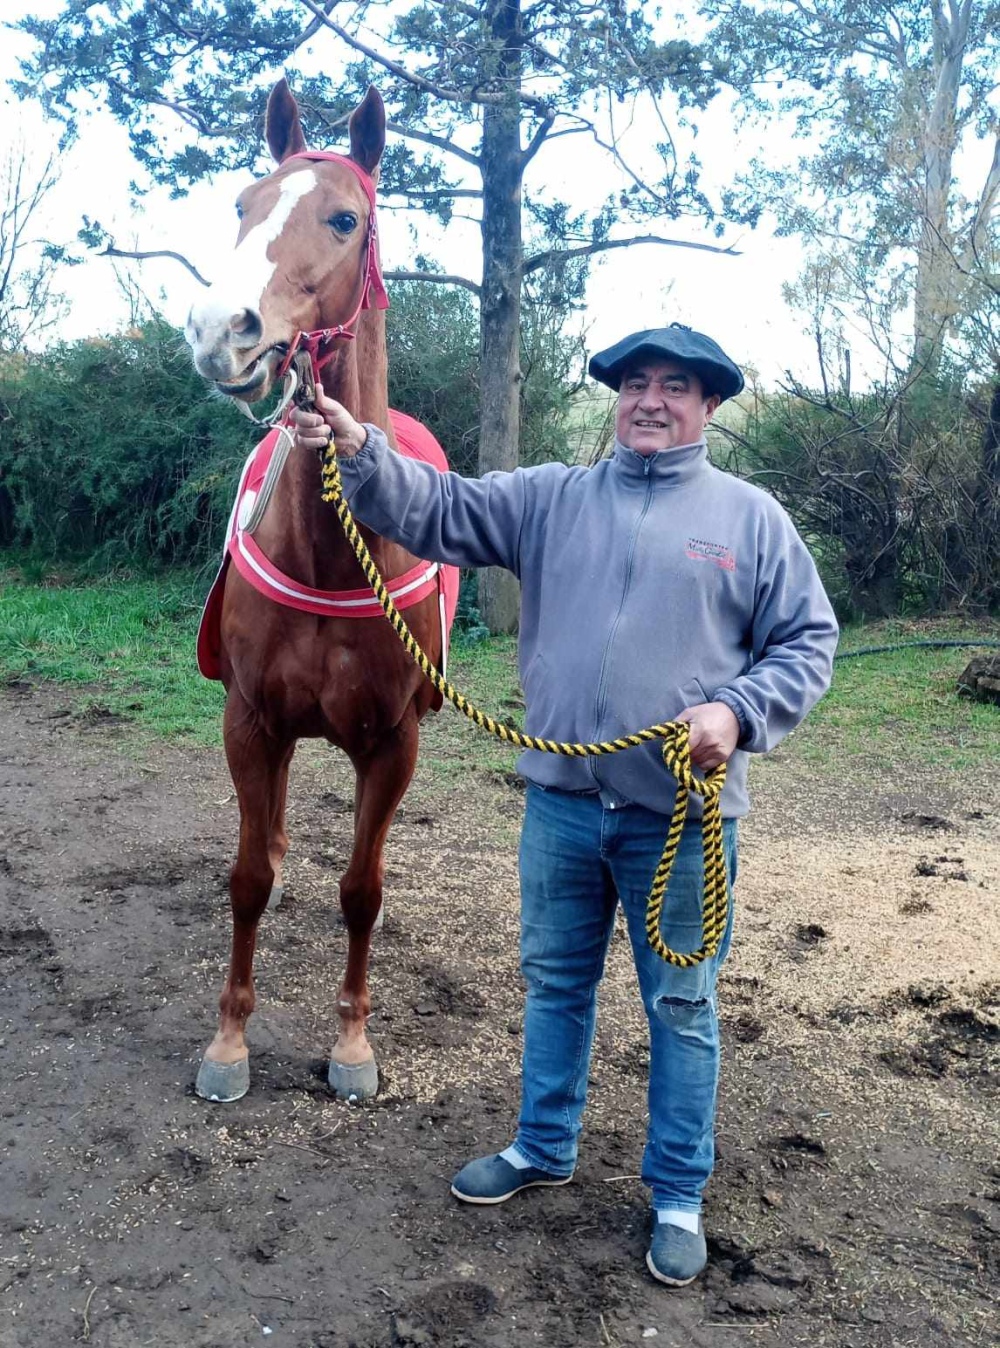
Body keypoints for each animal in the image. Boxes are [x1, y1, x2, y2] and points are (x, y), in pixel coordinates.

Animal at [184, 76, 458, 1105]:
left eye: (345, 218)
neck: (333, 552)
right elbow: (247, 881)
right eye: (242, 205)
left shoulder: (394, 742)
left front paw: (351, 1044)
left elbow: (362, 892)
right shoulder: (251, 720)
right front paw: (228, 1042)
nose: (220, 330)